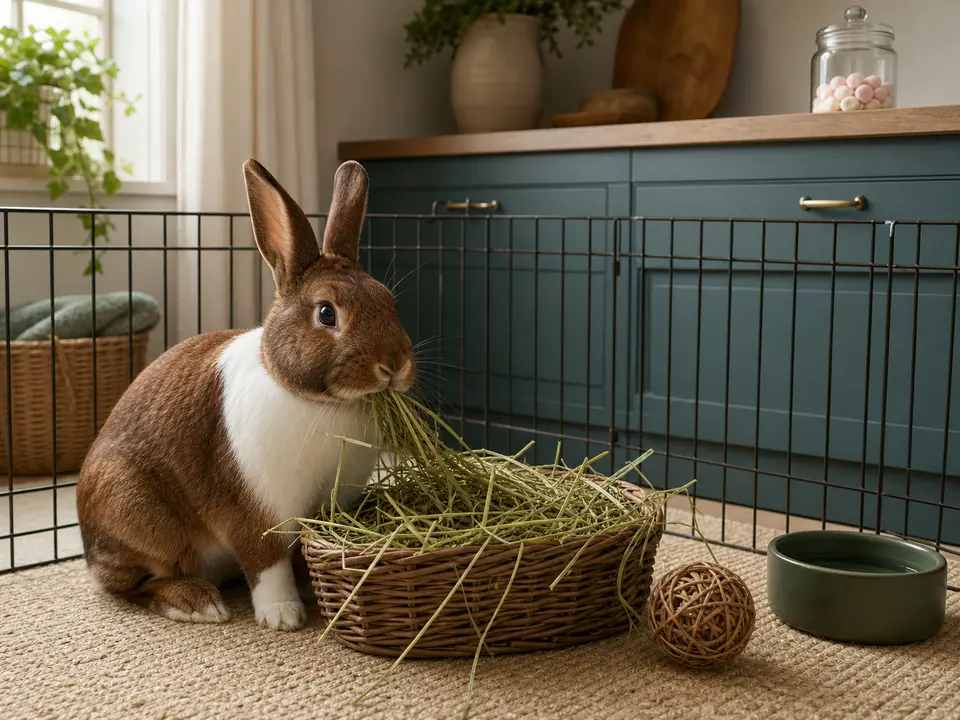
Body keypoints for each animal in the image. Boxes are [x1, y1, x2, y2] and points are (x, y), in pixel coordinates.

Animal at [76, 158, 416, 631]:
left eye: (388, 301)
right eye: (326, 313)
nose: (394, 366)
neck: (318, 402)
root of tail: (87, 550)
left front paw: (310, 590)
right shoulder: (256, 513)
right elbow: (268, 563)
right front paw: (283, 616)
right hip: (135, 514)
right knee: (134, 585)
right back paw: (198, 603)